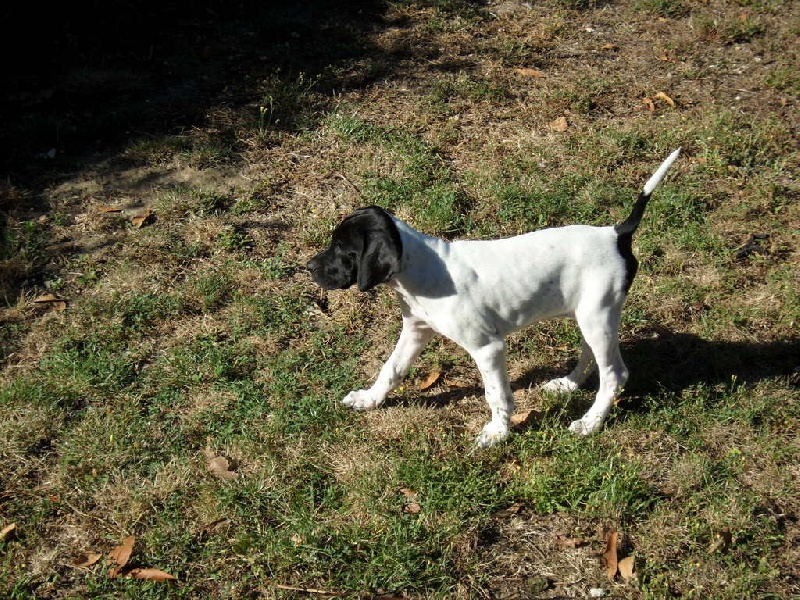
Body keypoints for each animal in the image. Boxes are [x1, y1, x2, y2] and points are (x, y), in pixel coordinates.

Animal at [307, 149, 681, 447]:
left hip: (597, 315)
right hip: (588, 315)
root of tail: (616, 234)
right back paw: (568, 384)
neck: (422, 268)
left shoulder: (487, 347)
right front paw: (370, 400)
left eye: (343, 248)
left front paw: (498, 432)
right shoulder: (416, 329)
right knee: (592, 356)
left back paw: (590, 422)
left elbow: (496, 394)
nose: (308, 267)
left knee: (615, 373)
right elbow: (392, 368)